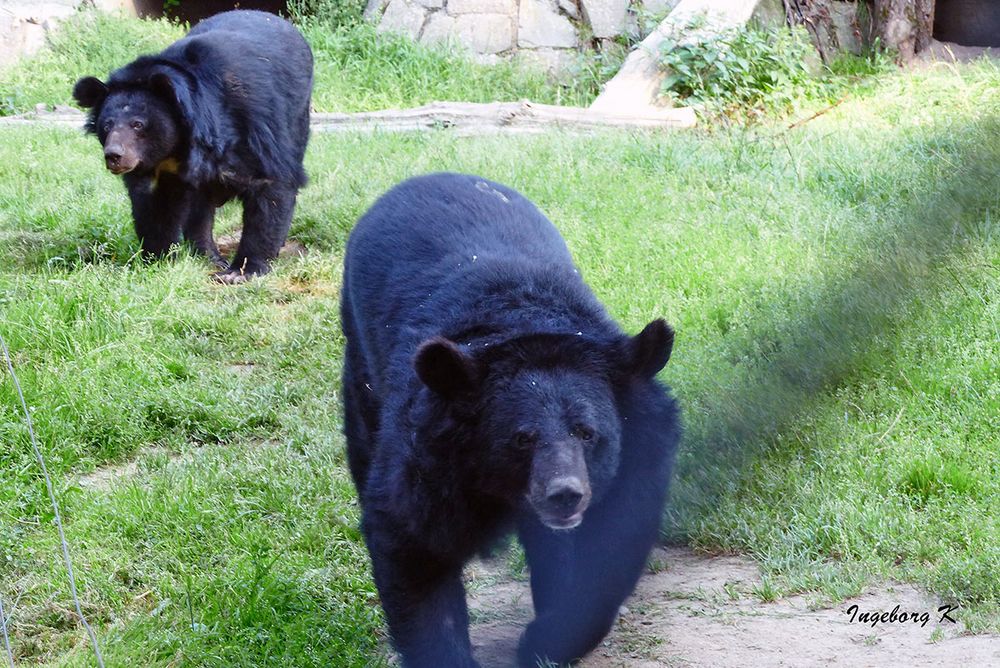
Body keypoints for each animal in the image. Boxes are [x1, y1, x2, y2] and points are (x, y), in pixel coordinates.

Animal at [71, 9, 310, 282]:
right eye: (107, 125)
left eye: (138, 124)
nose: (114, 156)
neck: (179, 146)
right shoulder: (159, 168)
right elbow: (156, 205)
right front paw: (158, 259)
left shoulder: (253, 123)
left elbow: (271, 185)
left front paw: (240, 271)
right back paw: (206, 255)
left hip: (298, 115)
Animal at [342, 174, 680, 668]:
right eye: (522, 439)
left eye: (588, 433)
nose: (564, 494)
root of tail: (433, 175)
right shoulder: (427, 459)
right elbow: (412, 541)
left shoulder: (638, 456)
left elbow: (607, 548)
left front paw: (545, 640)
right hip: (361, 360)